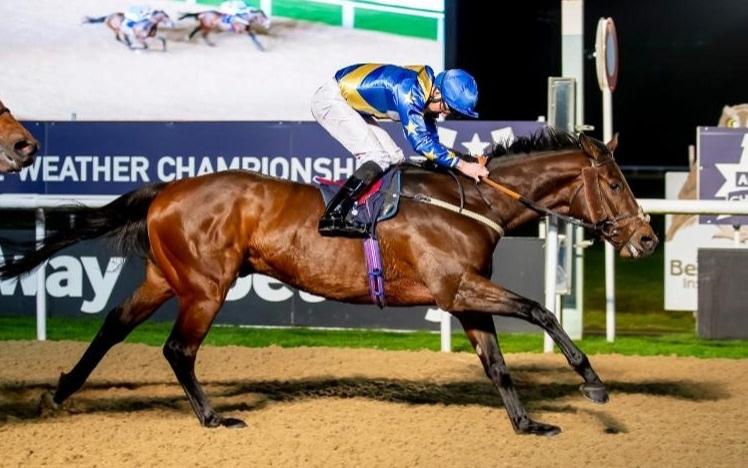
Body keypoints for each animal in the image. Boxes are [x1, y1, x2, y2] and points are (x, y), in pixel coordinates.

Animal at [2, 130, 657, 436]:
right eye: (617, 184)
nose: (647, 240)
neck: (470, 202)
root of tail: (166, 189)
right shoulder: (457, 288)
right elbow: (541, 310)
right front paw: (593, 386)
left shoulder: (465, 297)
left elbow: (496, 364)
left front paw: (527, 423)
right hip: (206, 286)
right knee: (177, 349)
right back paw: (213, 418)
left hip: (165, 276)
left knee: (112, 327)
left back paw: (58, 394)